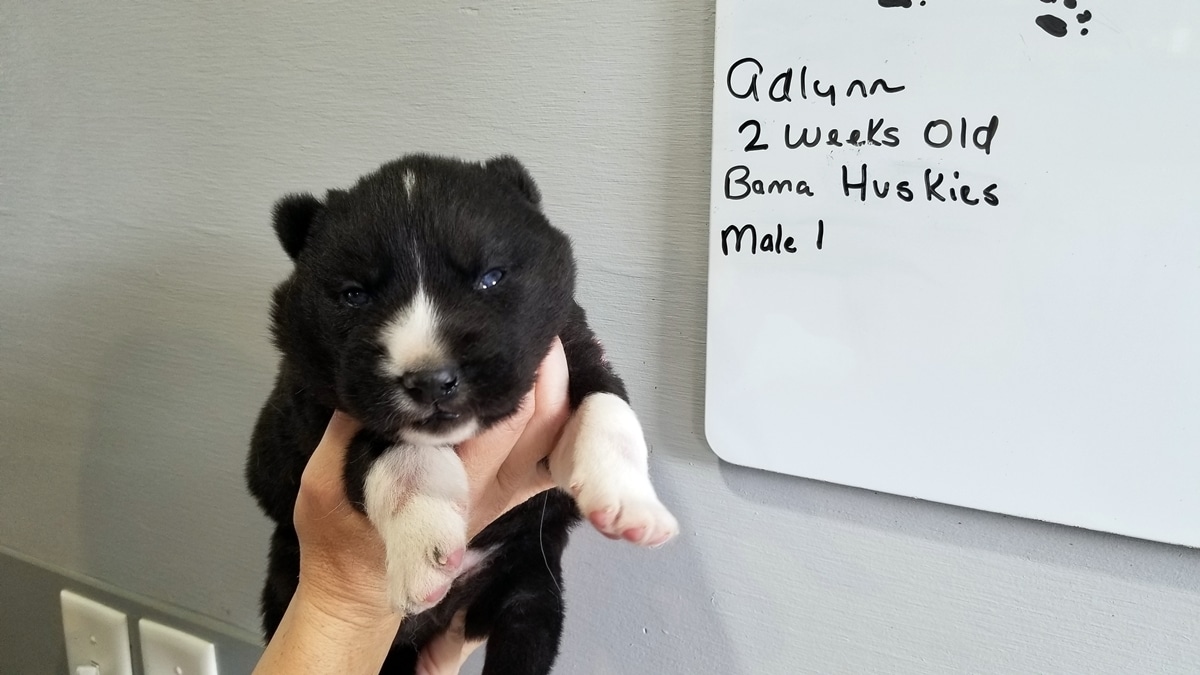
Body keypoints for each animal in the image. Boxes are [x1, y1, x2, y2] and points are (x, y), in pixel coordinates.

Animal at [246, 154, 678, 673]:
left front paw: (628, 500)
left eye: (490, 278)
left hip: (531, 589)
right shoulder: (311, 409)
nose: (432, 380)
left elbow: (608, 406)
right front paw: (424, 543)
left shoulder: (572, 349)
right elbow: (393, 451)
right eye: (354, 295)